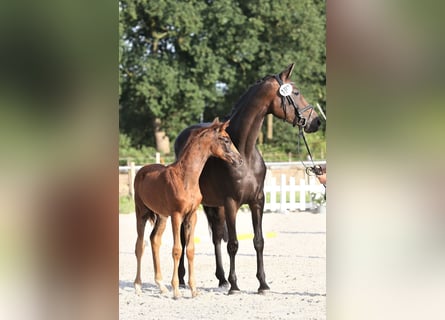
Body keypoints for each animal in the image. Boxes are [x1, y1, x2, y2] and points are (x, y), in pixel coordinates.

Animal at [134, 119, 241, 298]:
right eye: (226, 139)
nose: (239, 160)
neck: (186, 177)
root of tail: (141, 170)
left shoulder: (192, 215)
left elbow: (190, 250)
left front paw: (194, 290)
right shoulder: (177, 215)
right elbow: (177, 250)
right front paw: (177, 290)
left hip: (162, 216)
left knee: (154, 240)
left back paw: (161, 286)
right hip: (141, 213)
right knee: (140, 246)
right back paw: (138, 286)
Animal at [173, 63, 320, 296]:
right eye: (296, 93)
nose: (316, 121)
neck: (244, 152)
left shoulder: (257, 201)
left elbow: (258, 241)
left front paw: (263, 284)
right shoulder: (231, 203)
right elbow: (233, 244)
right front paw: (235, 286)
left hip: (214, 205)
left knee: (216, 236)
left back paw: (221, 278)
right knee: (183, 235)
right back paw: (181, 278)